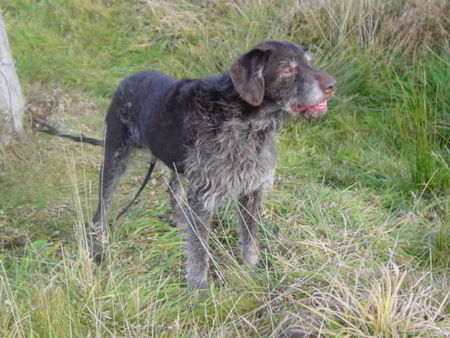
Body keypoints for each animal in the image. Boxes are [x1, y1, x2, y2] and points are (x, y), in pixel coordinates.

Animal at [91, 39, 336, 288]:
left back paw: (180, 222)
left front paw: (251, 271)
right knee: (102, 207)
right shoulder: (203, 196)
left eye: (309, 62)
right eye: (287, 69)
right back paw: (98, 247)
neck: (247, 123)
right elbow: (199, 250)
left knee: (173, 188)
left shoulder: (251, 191)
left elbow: (250, 239)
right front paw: (198, 288)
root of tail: (127, 79)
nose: (332, 85)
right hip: (115, 157)